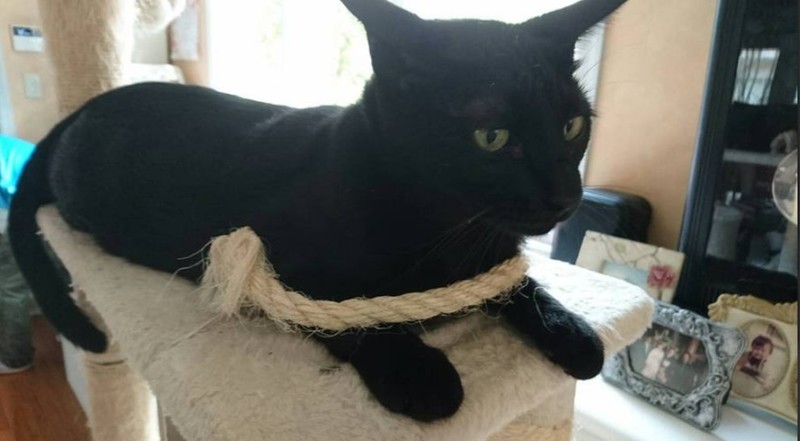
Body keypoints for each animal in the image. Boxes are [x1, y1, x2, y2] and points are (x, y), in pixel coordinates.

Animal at [9, 0, 625, 421]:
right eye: (492, 137)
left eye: (572, 126)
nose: (565, 196)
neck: (446, 230)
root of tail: (89, 104)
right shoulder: (284, 267)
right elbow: (351, 316)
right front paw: (420, 373)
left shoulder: (493, 262)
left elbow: (523, 286)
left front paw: (572, 330)